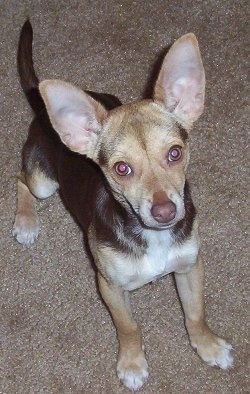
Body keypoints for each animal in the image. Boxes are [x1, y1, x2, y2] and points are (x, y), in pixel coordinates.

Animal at [12, 20, 233, 390]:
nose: (165, 212)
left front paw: (208, 346)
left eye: (175, 153)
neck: (151, 237)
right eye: (122, 169)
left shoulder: (190, 266)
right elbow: (129, 327)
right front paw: (132, 363)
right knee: (20, 179)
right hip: (43, 184)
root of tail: (43, 110)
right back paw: (26, 223)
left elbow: (195, 312)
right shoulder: (109, 286)